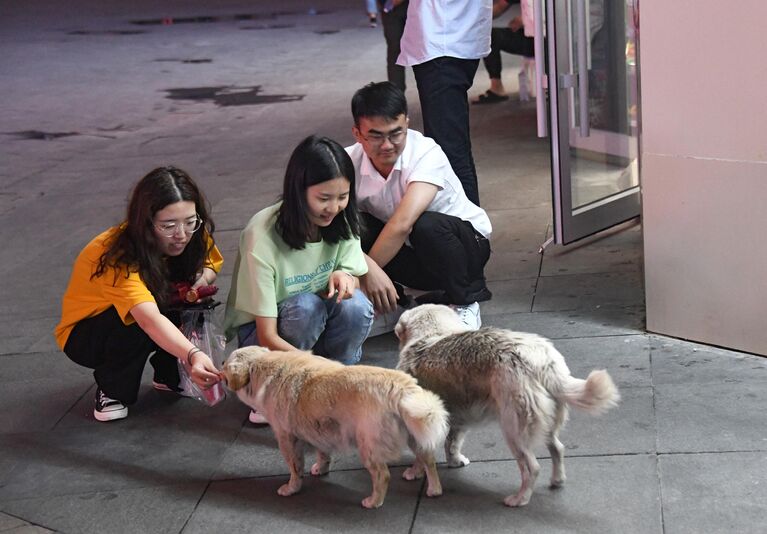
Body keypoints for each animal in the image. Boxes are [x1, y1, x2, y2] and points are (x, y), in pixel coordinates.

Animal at [222, 348, 450, 510]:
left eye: (225, 364)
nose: (220, 364)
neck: (265, 367)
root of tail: (401, 388)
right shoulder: (318, 431)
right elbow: (323, 454)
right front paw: (321, 468)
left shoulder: (287, 439)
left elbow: (295, 469)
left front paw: (291, 488)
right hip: (416, 434)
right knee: (428, 460)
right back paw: (430, 486)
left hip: (368, 447)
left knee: (383, 476)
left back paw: (373, 501)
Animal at [392, 308, 620, 508]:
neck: (431, 335)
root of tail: (543, 362)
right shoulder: (458, 420)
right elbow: (452, 444)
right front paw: (455, 461)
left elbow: (422, 455)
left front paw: (414, 472)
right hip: (543, 424)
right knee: (558, 448)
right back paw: (557, 480)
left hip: (513, 432)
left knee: (533, 468)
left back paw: (520, 499)